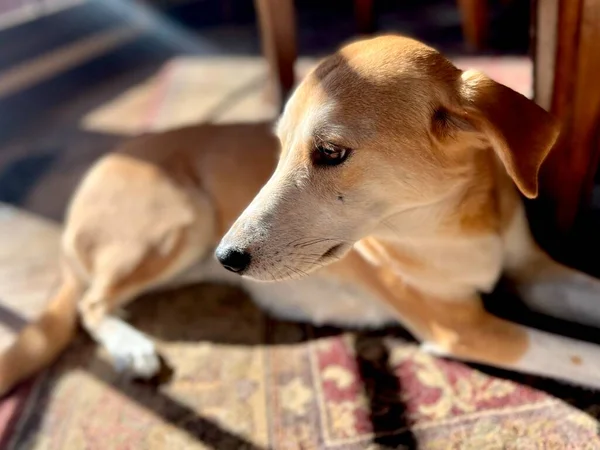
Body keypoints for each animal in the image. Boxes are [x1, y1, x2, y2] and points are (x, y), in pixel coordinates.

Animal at [3, 33, 600, 396]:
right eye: (280, 145)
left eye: (330, 152)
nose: (228, 258)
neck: (454, 220)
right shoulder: (459, 327)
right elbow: (582, 357)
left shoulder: (534, 274)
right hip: (180, 222)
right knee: (90, 303)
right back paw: (132, 349)